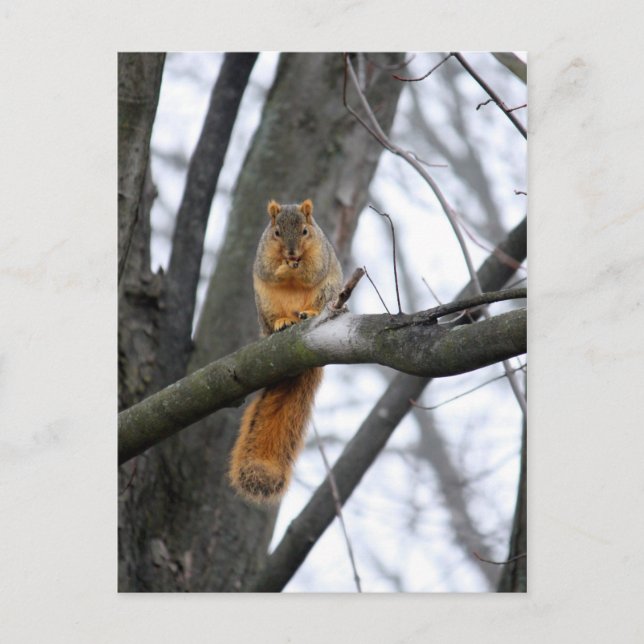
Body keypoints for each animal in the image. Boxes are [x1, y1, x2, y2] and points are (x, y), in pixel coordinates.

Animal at [229, 198, 343, 504]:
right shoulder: (263, 255)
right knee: (277, 318)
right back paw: (284, 322)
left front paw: (296, 268)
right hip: (266, 305)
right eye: (276, 233)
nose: (291, 253)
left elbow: (310, 270)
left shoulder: (319, 255)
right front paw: (282, 269)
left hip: (328, 292)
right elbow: (270, 268)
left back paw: (308, 313)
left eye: (305, 231)